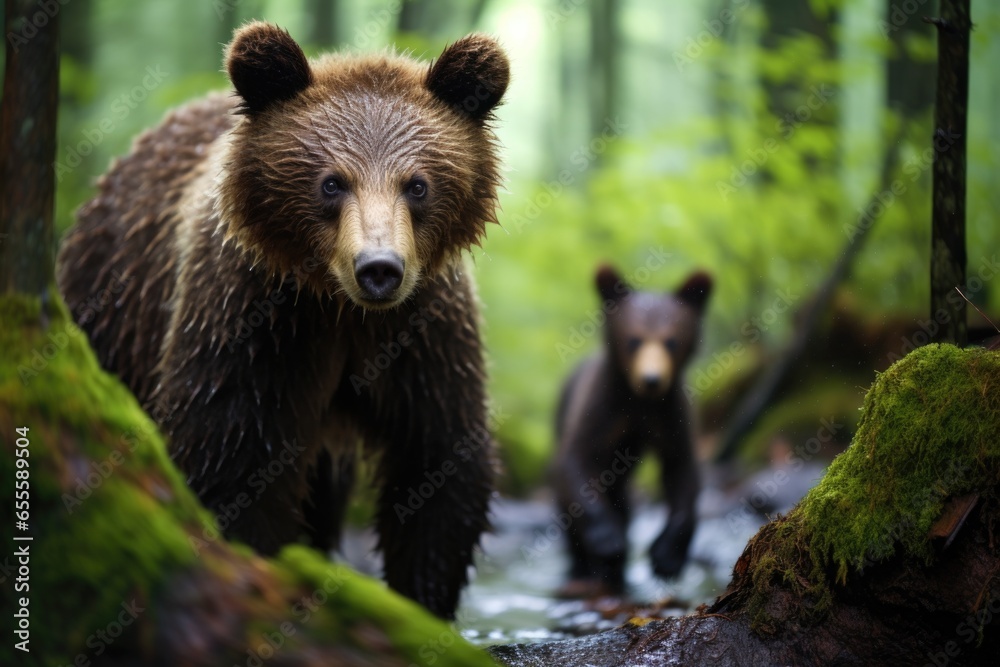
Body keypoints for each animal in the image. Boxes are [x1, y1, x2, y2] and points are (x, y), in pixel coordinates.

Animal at [56, 22, 510, 619]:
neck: (340, 308)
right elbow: (231, 459)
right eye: (332, 182)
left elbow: (438, 462)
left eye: (418, 184)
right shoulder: (255, 322)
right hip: (117, 314)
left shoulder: (423, 332)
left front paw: (423, 603)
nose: (379, 268)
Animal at [552, 265, 712, 597]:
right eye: (634, 340)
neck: (638, 403)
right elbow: (575, 461)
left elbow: (682, 472)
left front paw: (666, 557)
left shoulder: (670, 417)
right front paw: (608, 540)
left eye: (671, 341)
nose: (651, 379)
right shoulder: (601, 409)